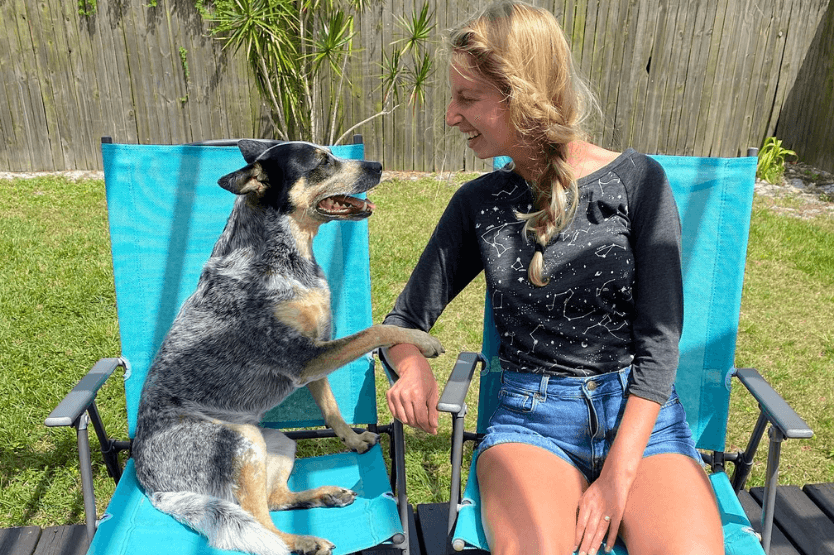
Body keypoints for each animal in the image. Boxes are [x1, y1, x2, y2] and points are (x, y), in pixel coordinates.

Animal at [132, 141, 442, 555]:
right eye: (322, 161)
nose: (378, 164)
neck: (288, 260)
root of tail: (152, 487)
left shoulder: (317, 353)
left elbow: (332, 409)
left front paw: (353, 439)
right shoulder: (304, 357)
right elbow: (375, 330)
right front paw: (423, 340)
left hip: (277, 442)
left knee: (274, 499)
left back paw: (326, 496)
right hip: (241, 442)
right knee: (260, 524)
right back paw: (305, 541)